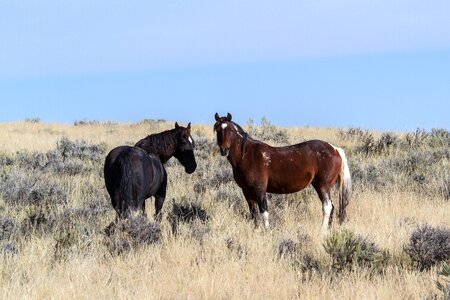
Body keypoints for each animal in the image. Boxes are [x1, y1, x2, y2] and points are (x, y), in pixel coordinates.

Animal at [214, 112, 352, 232]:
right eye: (218, 130)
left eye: (230, 131)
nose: (224, 150)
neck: (247, 155)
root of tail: (335, 149)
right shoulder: (247, 191)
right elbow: (254, 214)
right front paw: (256, 231)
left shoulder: (260, 189)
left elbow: (264, 211)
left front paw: (267, 232)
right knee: (332, 207)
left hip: (323, 185)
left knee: (327, 207)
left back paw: (322, 231)